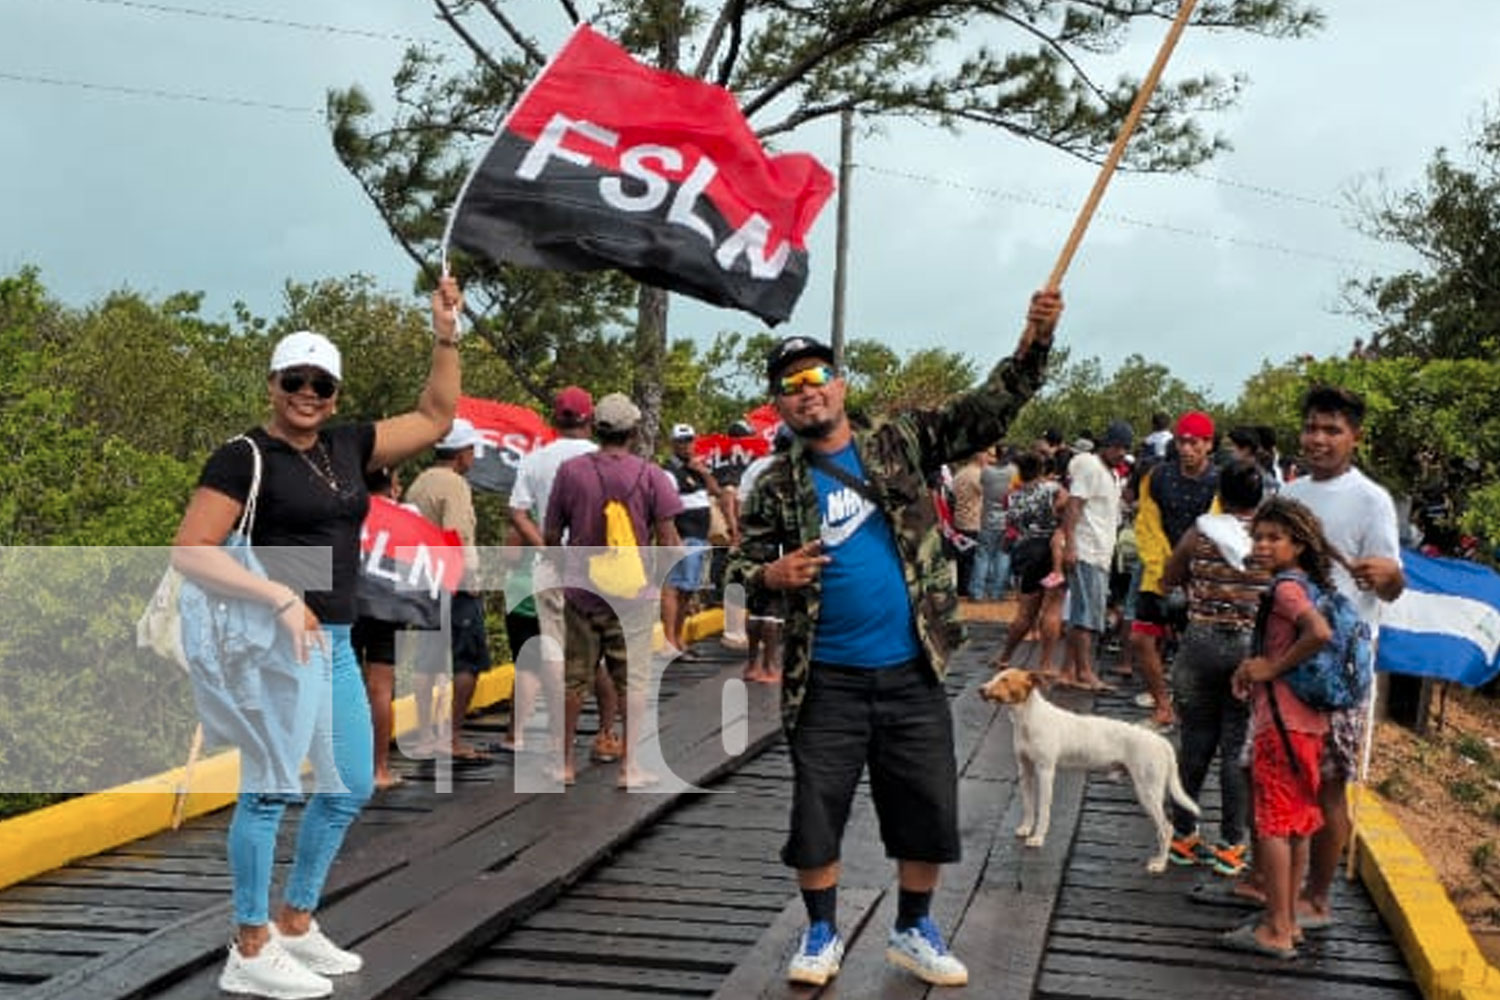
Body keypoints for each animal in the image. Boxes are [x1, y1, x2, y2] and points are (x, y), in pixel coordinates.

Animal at [978, 668, 1200, 869]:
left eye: (1005, 679)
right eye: (996, 676)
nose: (981, 689)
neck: (1027, 718)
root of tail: (1161, 742)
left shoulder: (1045, 772)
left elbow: (1043, 810)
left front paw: (1038, 838)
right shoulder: (1026, 772)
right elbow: (1029, 806)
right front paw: (1026, 828)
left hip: (1148, 792)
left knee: (1166, 829)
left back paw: (1160, 864)